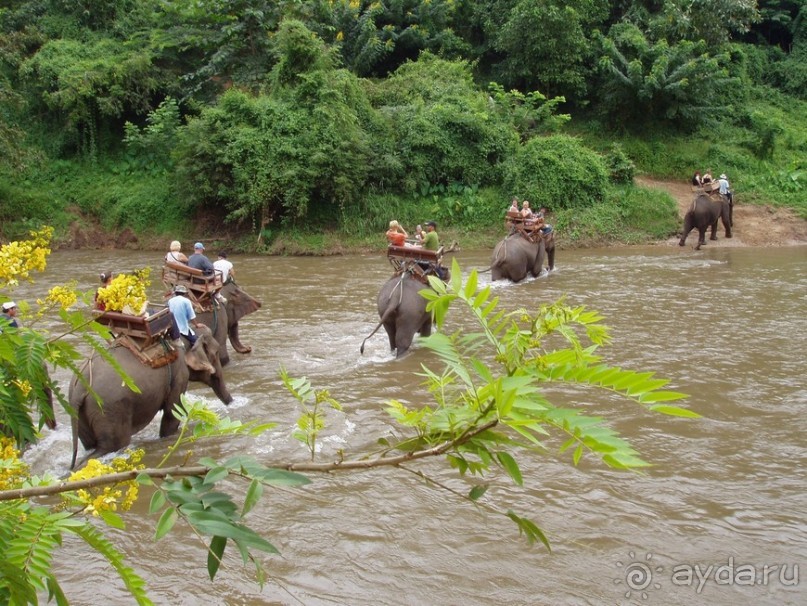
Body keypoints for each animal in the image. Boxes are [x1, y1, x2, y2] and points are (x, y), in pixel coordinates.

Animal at [67, 326, 232, 468]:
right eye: (216, 353)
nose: (231, 402)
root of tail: (79, 389)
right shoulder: (179, 374)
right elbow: (172, 412)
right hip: (110, 410)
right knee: (113, 445)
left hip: (81, 414)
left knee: (90, 445)